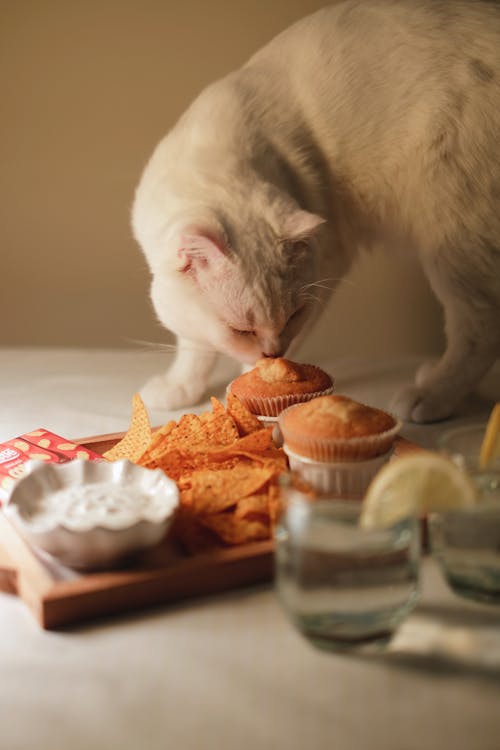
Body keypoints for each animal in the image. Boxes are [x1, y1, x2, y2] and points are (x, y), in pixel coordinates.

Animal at [133, 0, 500, 424]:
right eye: (241, 330)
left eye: (294, 316)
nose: (272, 353)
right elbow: (193, 345)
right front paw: (179, 389)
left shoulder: (331, 261)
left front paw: (255, 385)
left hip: (454, 235)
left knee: (480, 328)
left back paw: (430, 396)